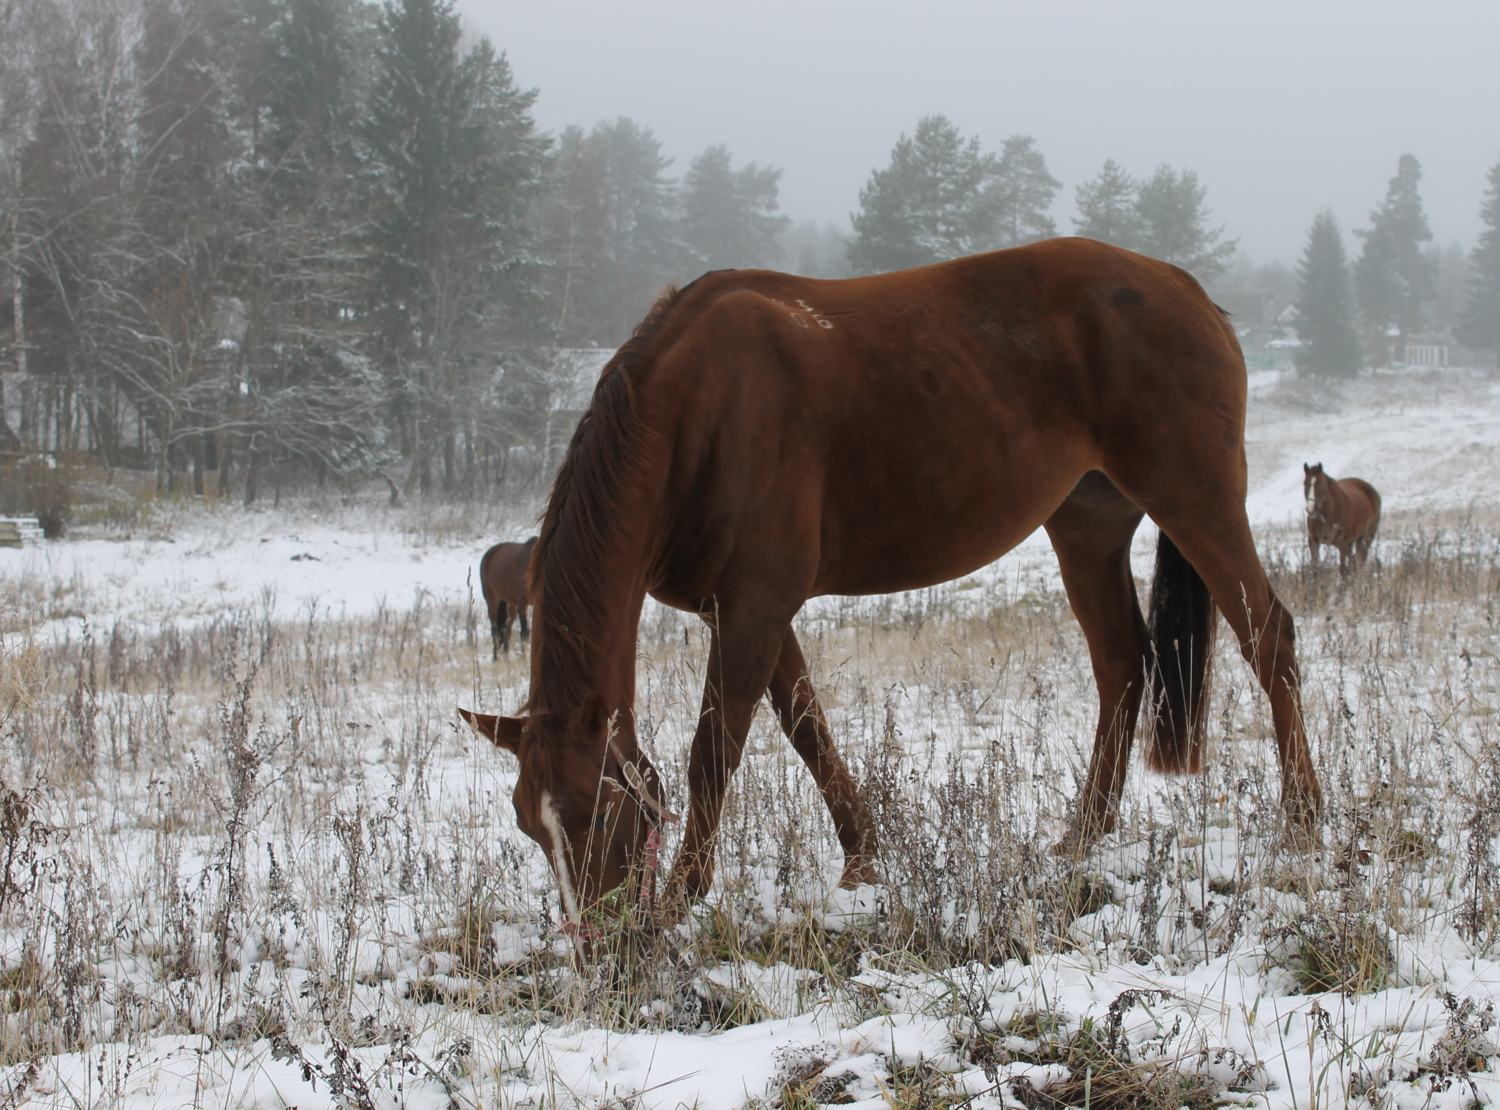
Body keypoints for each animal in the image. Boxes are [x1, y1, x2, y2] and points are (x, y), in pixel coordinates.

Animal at [459, 237, 1326, 948]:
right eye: (530, 826)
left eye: (601, 811)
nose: (599, 951)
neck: (694, 416)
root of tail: (1186, 288)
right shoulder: (743, 610)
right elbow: (805, 725)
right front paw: (864, 861)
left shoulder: (754, 608)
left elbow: (716, 752)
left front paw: (681, 898)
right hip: (1088, 524)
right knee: (1122, 661)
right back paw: (1084, 836)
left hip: (1197, 499)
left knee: (1269, 637)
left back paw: (1304, 825)